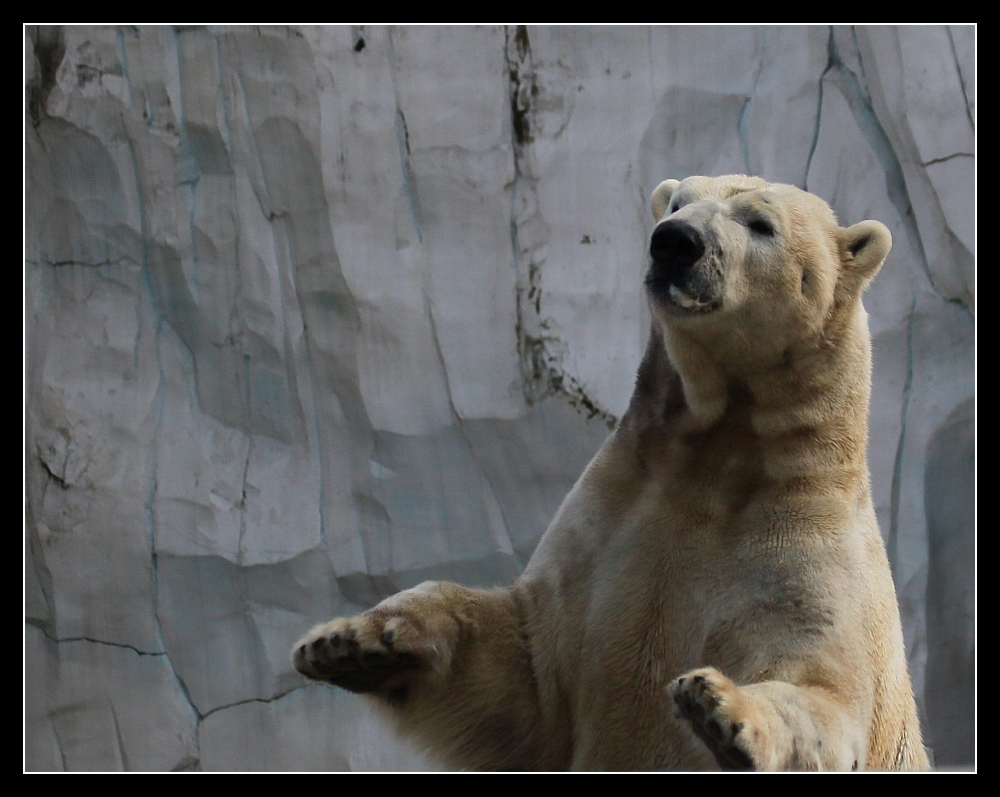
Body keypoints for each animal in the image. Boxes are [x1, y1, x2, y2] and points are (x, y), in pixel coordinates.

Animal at [292, 176, 928, 772]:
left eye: (760, 222)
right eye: (679, 201)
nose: (675, 242)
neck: (723, 457)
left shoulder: (801, 544)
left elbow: (819, 690)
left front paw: (720, 706)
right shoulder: (610, 527)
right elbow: (519, 675)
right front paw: (350, 640)